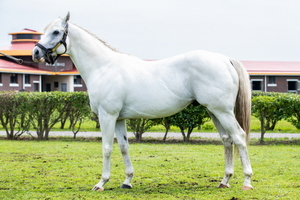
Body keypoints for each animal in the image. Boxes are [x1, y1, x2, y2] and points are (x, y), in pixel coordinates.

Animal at [32, 12, 253, 191]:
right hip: (214, 111)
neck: (103, 67)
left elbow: (107, 147)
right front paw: (127, 181)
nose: (36, 52)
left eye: (55, 32)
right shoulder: (119, 119)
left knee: (239, 137)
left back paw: (247, 182)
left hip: (223, 111)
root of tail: (225, 59)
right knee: (227, 140)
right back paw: (224, 181)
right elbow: (123, 146)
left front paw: (101, 183)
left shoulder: (107, 116)